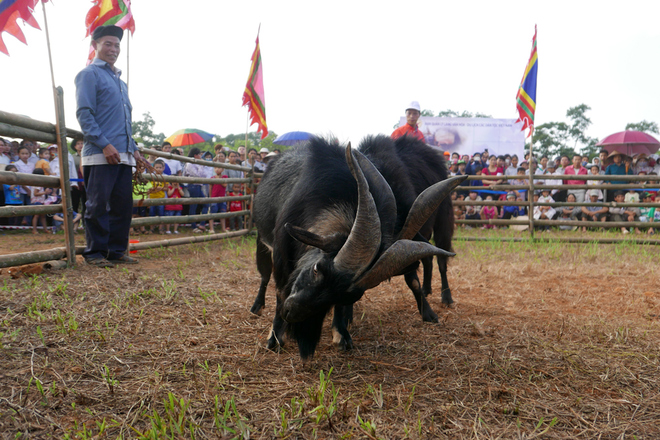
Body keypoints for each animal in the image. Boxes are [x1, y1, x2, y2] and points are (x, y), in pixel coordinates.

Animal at [250, 136, 462, 360]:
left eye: (347, 296)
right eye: (317, 269)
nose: (291, 313)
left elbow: (412, 279)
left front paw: (341, 334)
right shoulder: (281, 252)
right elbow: (280, 290)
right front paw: (275, 338)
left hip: (443, 223)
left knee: (439, 262)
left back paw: (444, 296)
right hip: (261, 239)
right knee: (264, 274)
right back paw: (257, 306)